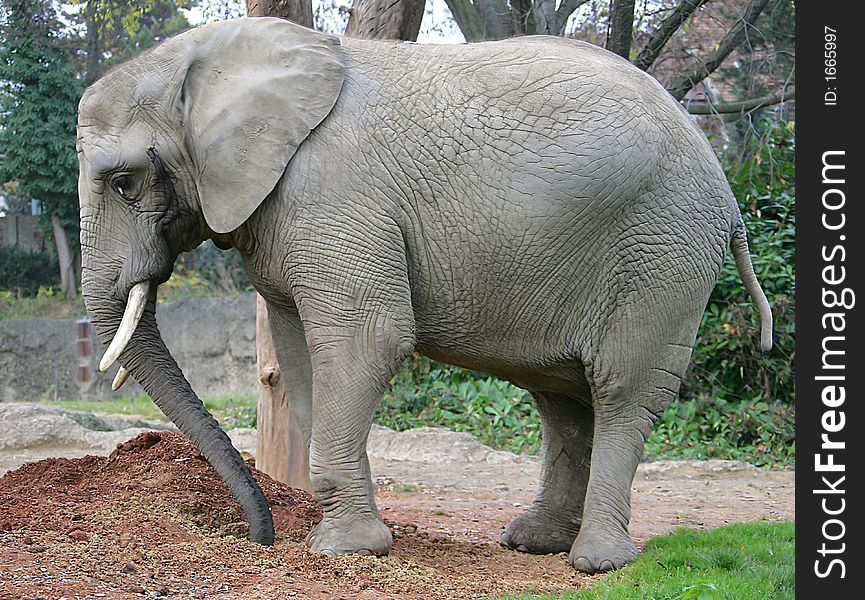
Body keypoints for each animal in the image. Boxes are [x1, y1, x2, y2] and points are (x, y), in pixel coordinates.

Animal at [77, 17, 772, 572]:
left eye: (125, 182)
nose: (260, 537)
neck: (208, 60)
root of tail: (727, 188)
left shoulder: (335, 198)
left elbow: (365, 338)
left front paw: (344, 549)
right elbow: (301, 354)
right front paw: (338, 536)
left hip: (663, 250)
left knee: (621, 389)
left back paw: (597, 562)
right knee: (563, 397)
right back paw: (534, 542)